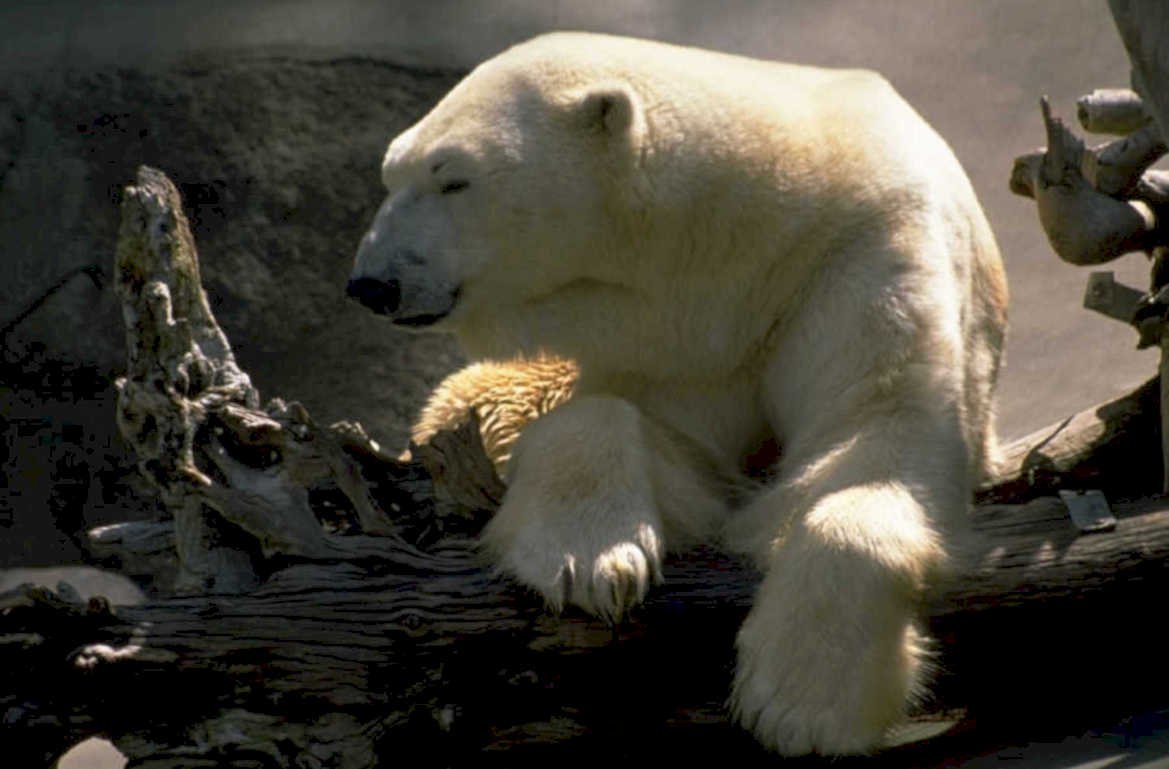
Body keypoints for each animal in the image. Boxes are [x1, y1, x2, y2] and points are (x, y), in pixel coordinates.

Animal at [347, 32, 1007, 756]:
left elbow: (881, 425)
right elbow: (666, 450)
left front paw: (801, 701)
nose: (371, 283)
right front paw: (588, 559)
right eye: (390, 176)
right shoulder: (675, 338)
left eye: (453, 178)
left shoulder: (861, 254)